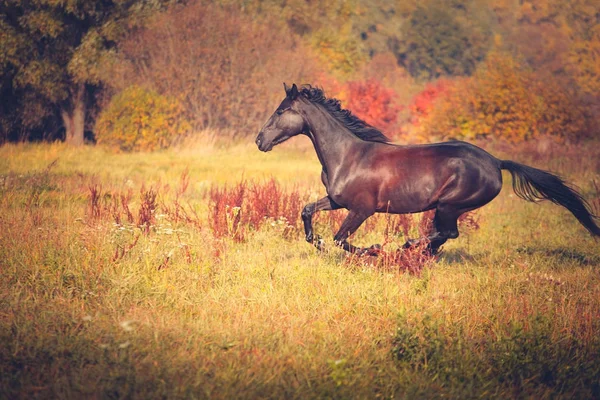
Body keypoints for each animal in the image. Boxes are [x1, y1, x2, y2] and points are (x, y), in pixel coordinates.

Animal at [254, 83, 600, 255]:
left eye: (281, 111)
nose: (259, 140)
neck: (347, 156)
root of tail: (496, 162)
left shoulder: (362, 208)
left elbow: (341, 239)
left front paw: (374, 249)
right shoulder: (338, 201)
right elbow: (307, 212)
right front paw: (318, 243)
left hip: (450, 204)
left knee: (447, 233)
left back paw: (408, 247)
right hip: (447, 207)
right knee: (444, 236)